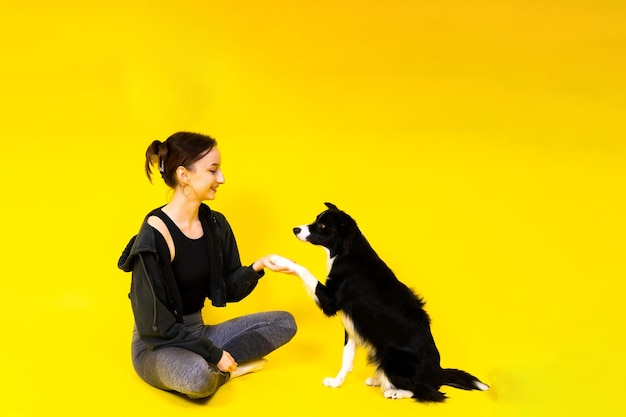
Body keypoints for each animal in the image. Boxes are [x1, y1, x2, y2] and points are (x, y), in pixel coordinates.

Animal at [268, 203, 488, 402]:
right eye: (316, 219)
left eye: (322, 226)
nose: (296, 229)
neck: (346, 254)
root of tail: (438, 373)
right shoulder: (352, 325)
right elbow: (346, 358)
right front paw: (337, 382)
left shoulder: (331, 301)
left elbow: (304, 270)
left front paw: (279, 260)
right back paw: (379, 379)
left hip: (393, 358)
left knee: (426, 391)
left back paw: (394, 391)